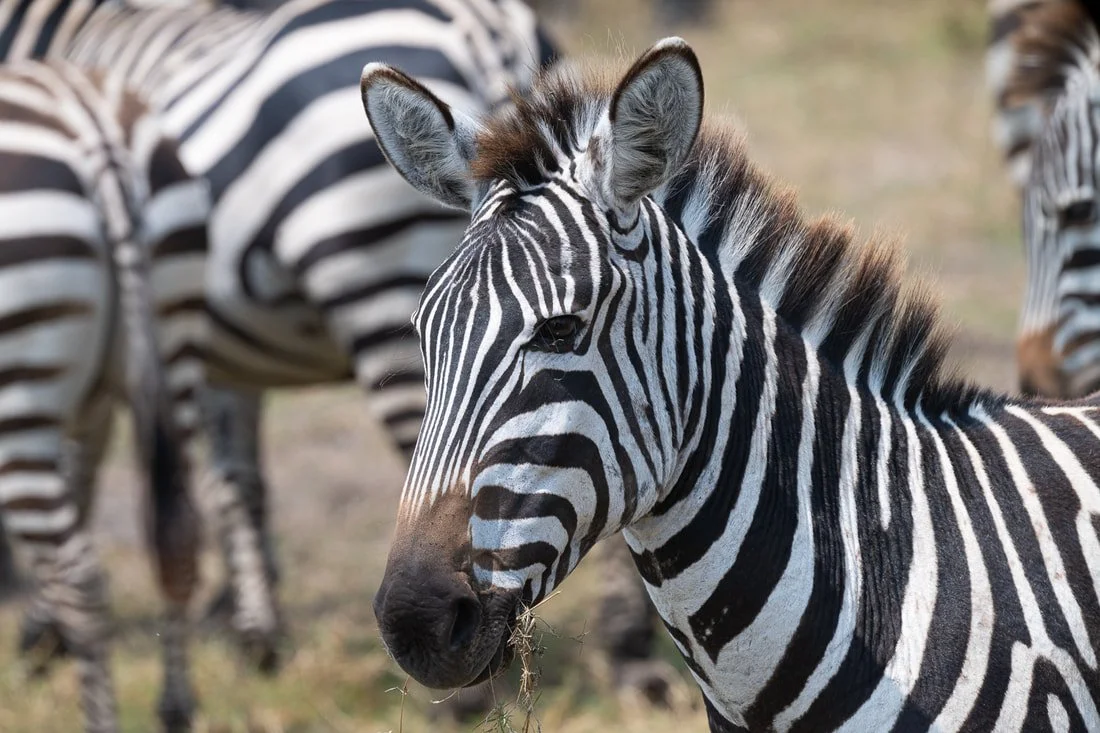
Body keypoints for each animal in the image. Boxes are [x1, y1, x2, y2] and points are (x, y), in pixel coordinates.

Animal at [0, 59, 209, 731]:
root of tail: (94, 131)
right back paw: (175, 708)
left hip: (18, 398)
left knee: (85, 581)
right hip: (175, 346)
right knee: (179, 542)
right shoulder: (87, 412)